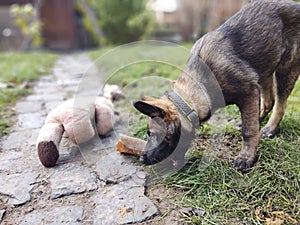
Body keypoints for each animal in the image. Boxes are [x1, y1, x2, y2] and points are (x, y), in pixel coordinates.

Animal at [134, 0, 300, 172]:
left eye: (151, 133)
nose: (141, 159)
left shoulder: (248, 92)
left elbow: (249, 130)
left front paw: (246, 157)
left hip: (286, 67)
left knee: (280, 104)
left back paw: (269, 129)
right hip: (265, 65)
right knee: (268, 102)